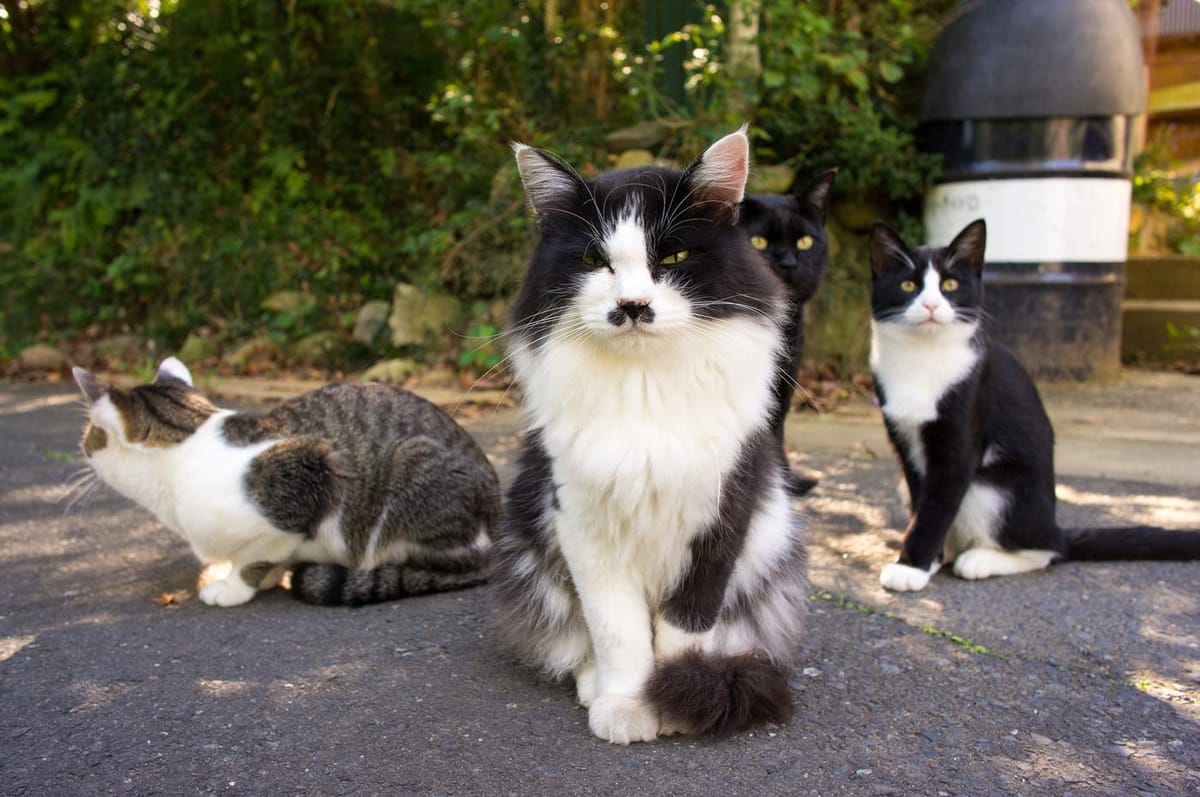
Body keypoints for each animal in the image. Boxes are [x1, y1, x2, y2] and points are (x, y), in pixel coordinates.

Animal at [71, 360, 496, 604]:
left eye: (92, 431)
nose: (83, 448)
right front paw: (266, 577)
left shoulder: (312, 476)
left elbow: (258, 555)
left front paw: (234, 587)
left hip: (410, 465)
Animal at [492, 127, 811, 744]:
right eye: (595, 260)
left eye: (675, 256)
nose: (633, 306)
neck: (645, 386)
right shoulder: (581, 523)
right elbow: (618, 632)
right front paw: (626, 705)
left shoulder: (723, 515)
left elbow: (685, 629)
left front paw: (678, 700)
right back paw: (593, 685)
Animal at [868, 218, 1200, 590]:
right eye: (908, 285)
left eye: (950, 284)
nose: (930, 306)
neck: (922, 358)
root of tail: (1055, 527)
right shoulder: (905, 443)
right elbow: (921, 500)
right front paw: (928, 561)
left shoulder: (965, 424)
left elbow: (937, 503)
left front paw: (911, 567)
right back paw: (951, 553)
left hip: (994, 489)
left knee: (1046, 551)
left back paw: (980, 559)